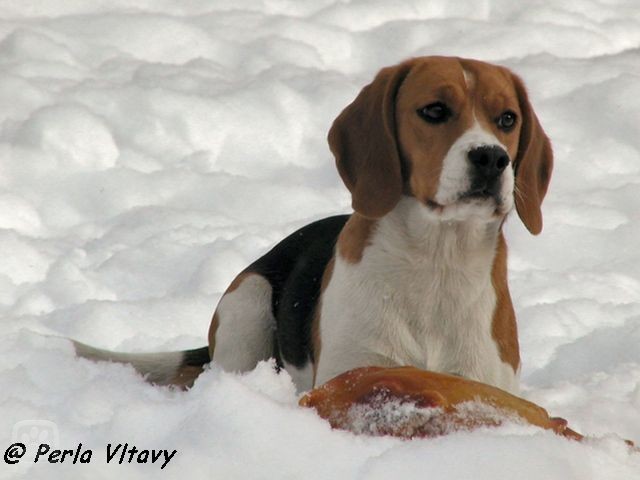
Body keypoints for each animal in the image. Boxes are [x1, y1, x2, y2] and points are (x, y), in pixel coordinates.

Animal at [75, 56, 552, 396]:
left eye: (507, 119)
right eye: (434, 110)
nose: (492, 158)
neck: (437, 259)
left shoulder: (480, 379)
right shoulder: (354, 367)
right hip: (247, 302)